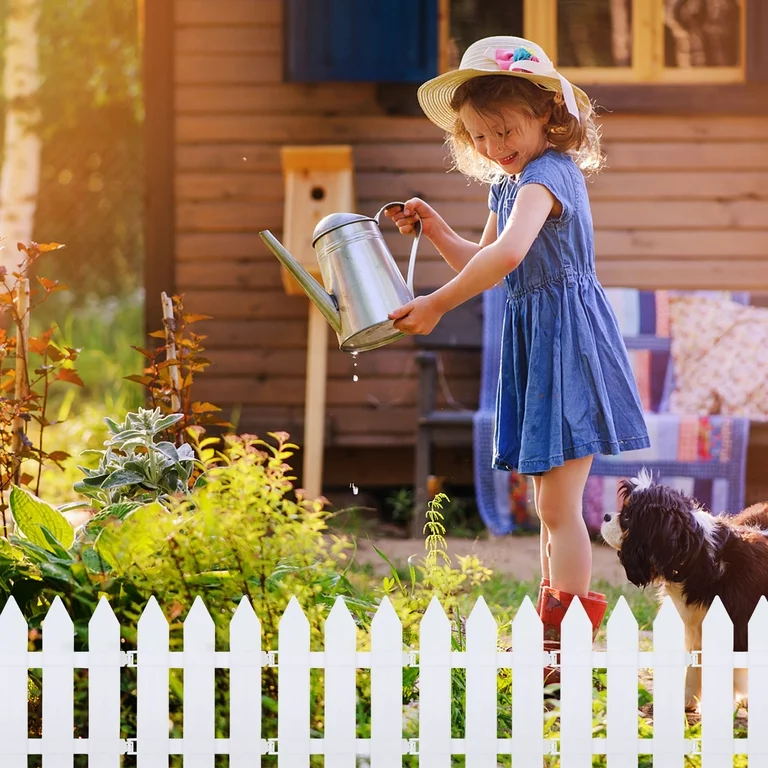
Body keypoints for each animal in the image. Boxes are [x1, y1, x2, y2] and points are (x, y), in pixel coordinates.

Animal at [600, 472, 768, 712]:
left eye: (626, 519)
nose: (605, 516)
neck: (697, 555)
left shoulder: (737, 629)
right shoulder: (694, 625)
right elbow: (693, 666)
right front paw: (686, 701)